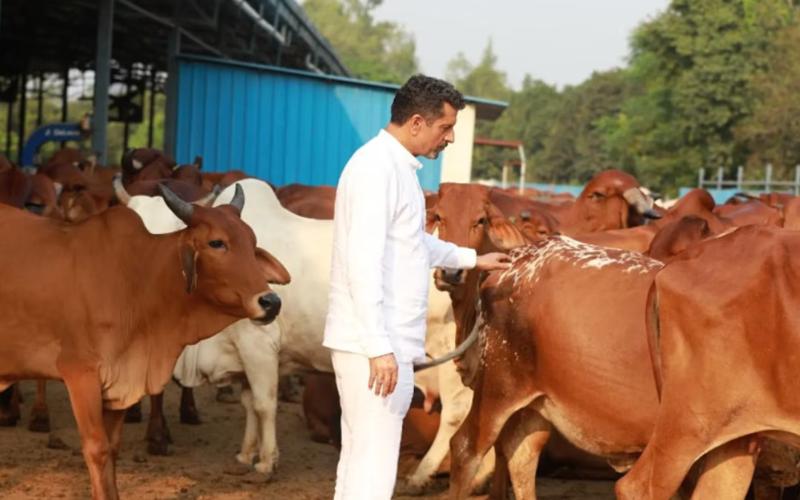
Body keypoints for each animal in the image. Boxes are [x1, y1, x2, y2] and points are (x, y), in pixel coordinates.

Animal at [0, 183, 289, 499]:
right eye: (216, 243)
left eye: (252, 242)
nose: (271, 302)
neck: (138, 281)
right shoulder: (80, 375)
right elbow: (97, 450)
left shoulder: (120, 382)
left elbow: (113, 450)